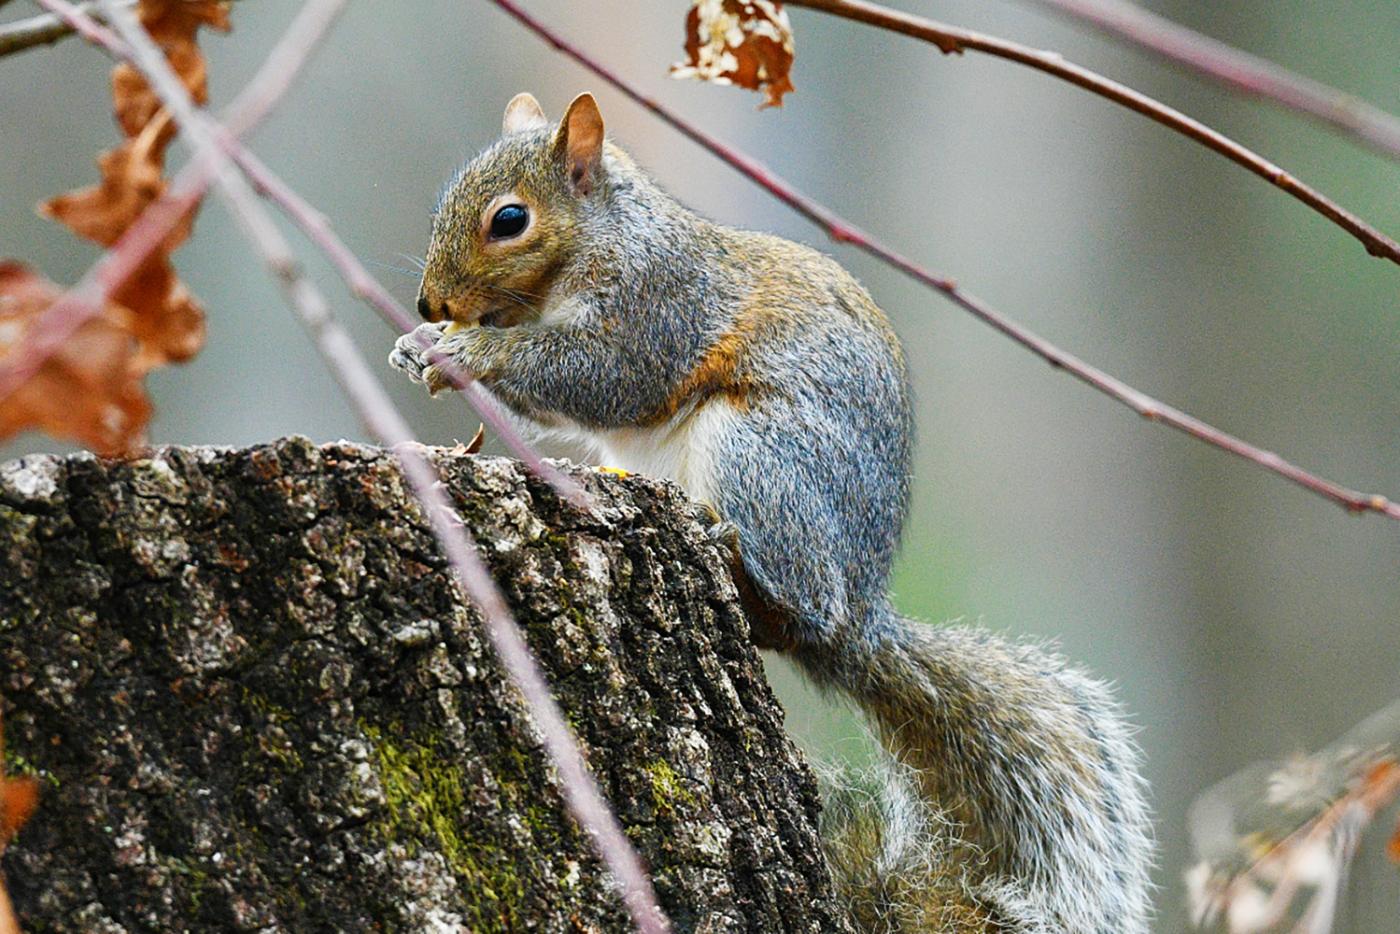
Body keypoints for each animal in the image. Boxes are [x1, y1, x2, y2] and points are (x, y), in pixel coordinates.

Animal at [389, 91, 1154, 933]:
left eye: (509, 219)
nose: (430, 301)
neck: (598, 242)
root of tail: (860, 620)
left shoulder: (660, 306)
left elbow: (600, 375)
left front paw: (467, 352)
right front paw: (416, 344)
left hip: (760, 451)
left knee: (798, 593)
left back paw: (729, 548)